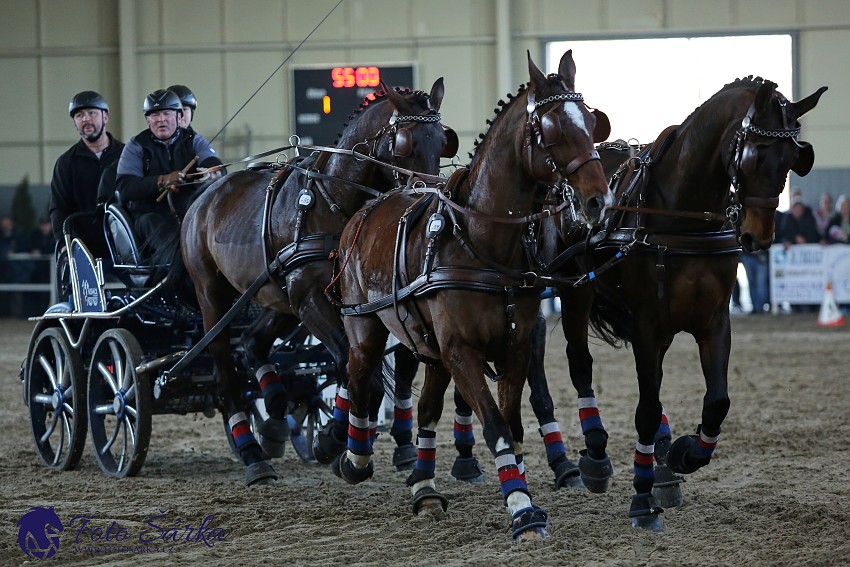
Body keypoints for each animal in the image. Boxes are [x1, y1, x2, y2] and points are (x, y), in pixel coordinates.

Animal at [181, 79, 458, 488]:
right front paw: (335, 441)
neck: (335, 203)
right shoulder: (310, 296)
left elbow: (355, 371)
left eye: (443, 141)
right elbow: (355, 368)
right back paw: (253, 455)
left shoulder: (348, 304)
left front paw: (333, 438)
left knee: (253, 342)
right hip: (214, 295)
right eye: (404, 143)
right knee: (224, 367)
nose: (428, 195)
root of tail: (203, 198)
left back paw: (276, 421)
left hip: (277, 297)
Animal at [330, 50, 608, 540]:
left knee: (424, 410)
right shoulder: (462, 350)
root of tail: (363, 212)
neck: (482, 243)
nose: (598, 201)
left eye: (592, 124)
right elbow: (495, 425)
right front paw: (522, 510)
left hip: (432, 349)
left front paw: (522, 490)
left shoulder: (514, 345)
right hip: (365, 326)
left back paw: (424, 486)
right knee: (359, 378)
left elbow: (512, 424)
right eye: (552, 129)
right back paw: (355, 457)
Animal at [532, 76, 824, 532]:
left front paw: (683, 454)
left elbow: (717, 401)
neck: (684, 217)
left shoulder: (713, 321)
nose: (758, 237)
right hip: (576, 292)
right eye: (754, 156)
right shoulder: (648, 325)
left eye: (795, 159)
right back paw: (596, 453)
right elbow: (646, 410)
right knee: (580, 363)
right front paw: (642, 496)